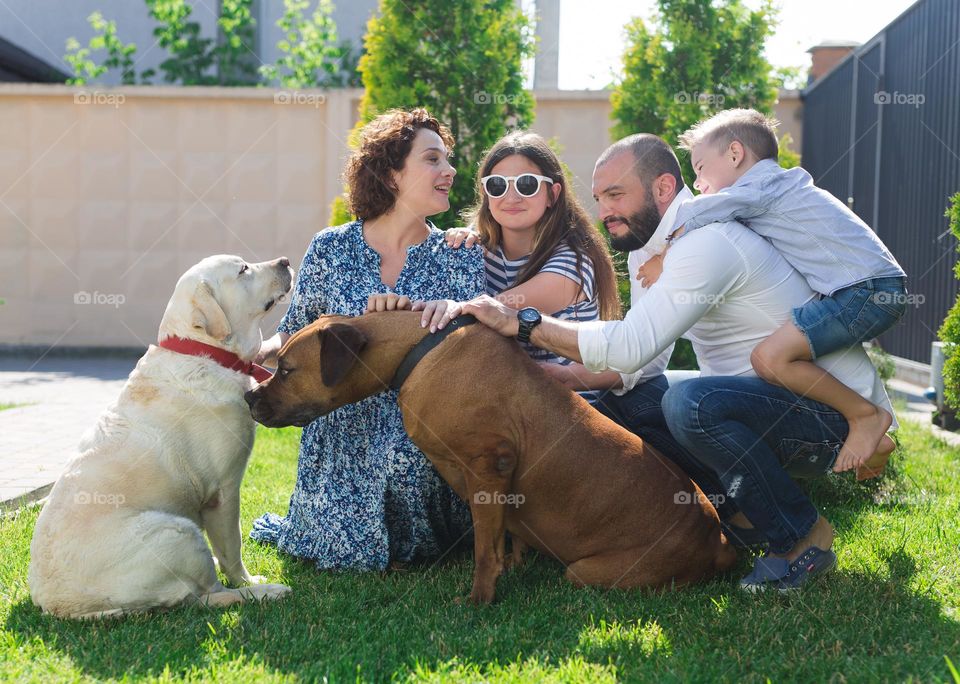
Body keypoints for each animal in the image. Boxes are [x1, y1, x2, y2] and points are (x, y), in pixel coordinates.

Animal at [30, 254, 294, 616]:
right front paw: (247, 579)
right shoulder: (223, 490)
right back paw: (265, 592)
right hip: (178, 532)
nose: (285, 261)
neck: (201, 351)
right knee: (205, 596)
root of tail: (59, 606)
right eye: (242, 269)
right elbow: (232, 548)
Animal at [246, 312, 736, 604]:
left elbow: (485, 550)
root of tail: (716, 539)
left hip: (590, 572)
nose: (251, 398)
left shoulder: (488, 468)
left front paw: (480, 598)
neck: (417, 352)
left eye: (286, 370)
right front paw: (514, 564)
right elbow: (505, 536)